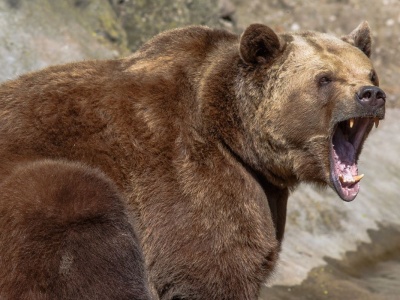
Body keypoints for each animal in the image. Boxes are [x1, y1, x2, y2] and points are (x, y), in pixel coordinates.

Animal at [0, 21, 384, 300]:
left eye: (369, 73)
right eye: (325, 78)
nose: (371, 95)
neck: (234, 136)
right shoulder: (191, 181)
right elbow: (210, 270)